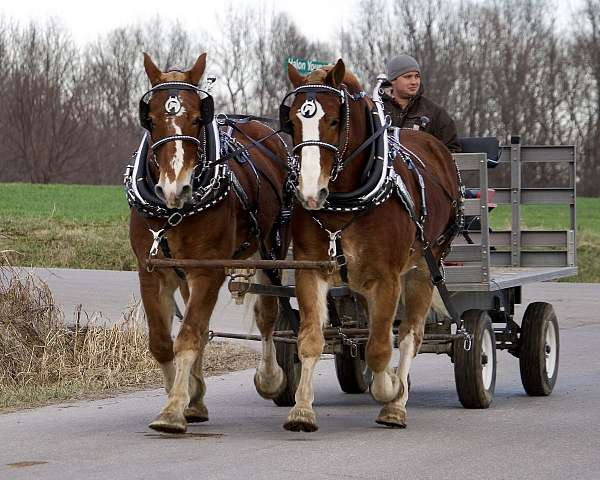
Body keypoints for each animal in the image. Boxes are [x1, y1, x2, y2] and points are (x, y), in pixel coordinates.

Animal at [127, 53, 292, 436]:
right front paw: (186, 396)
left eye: (197, 118)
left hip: (272, 249)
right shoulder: (153, 272)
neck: (174, 212)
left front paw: (173, 408)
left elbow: (188, 335)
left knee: (268, 315)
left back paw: (271, 378)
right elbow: (162, 341)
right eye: (150, 119)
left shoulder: (207, 271)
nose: (175, 188)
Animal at [278, 59, 462, 432]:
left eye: (335, 120)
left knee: (410, 334)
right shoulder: (310, 271)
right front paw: (301, 410)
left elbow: (380, 347)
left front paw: (391, 389)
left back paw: (398, 401)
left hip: (424, 266)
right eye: (291, 121)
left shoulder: (387, 279)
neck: (346, 200)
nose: (309, 192)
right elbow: (310, 340)